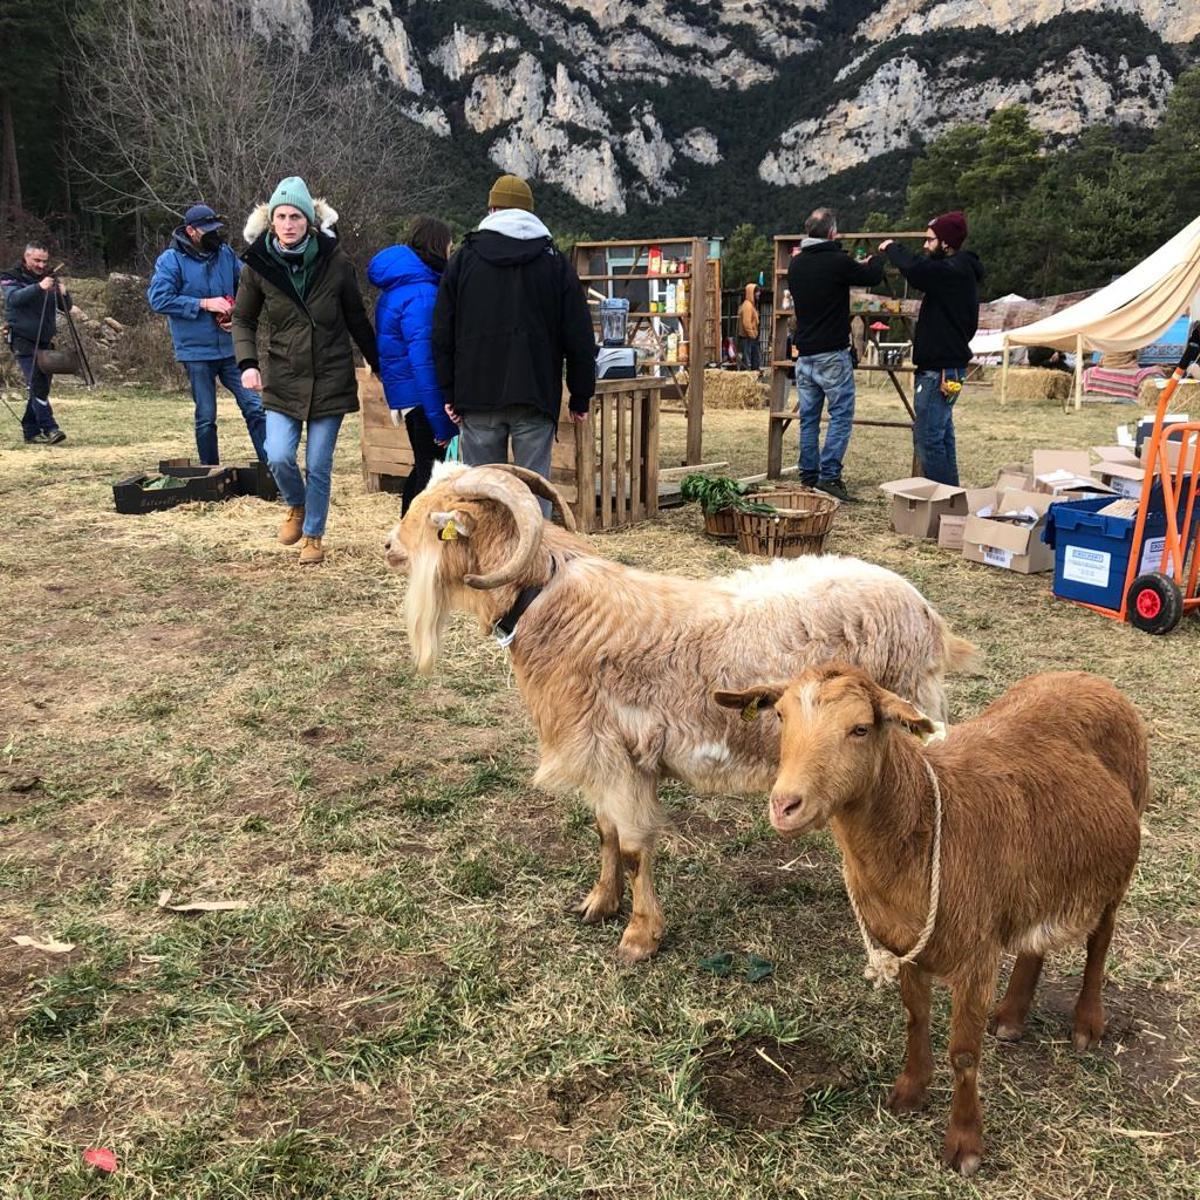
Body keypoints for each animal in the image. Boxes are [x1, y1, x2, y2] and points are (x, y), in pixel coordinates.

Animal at [388, 460, 979, 964]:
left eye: (435, 516)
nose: (389, 546)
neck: (552, 606)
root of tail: (928, 615)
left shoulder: (618, 760)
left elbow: (632, 848)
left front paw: (639, 938)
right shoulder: (606, 762)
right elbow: (604, 833)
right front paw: (598, 904)